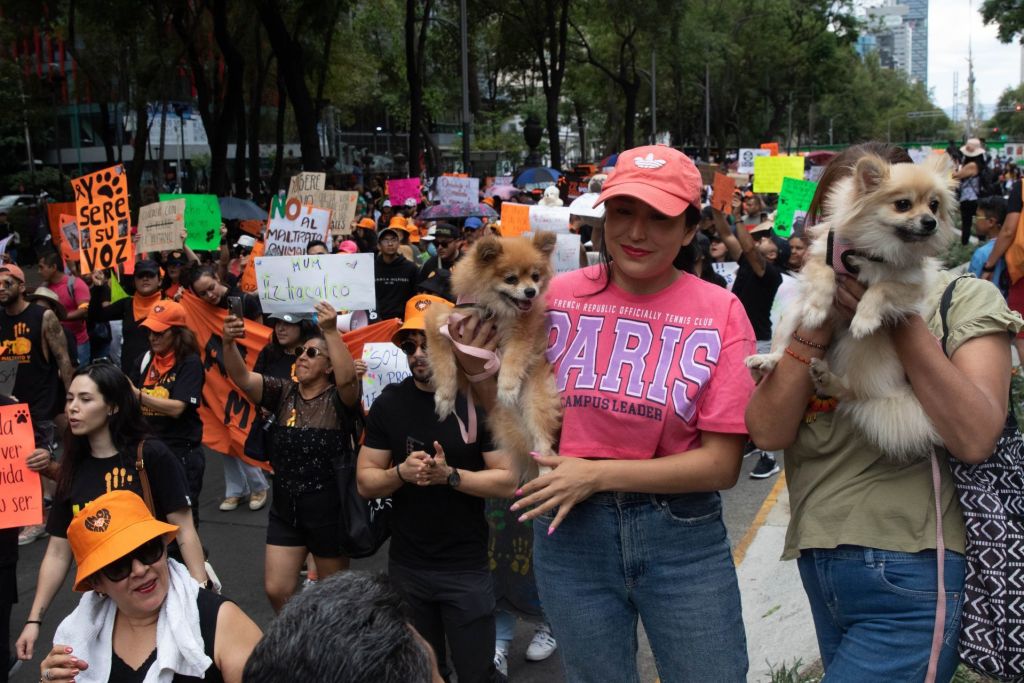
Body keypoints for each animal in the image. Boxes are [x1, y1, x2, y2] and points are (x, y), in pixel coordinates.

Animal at [428, 232, 565, 479]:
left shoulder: (522, 331)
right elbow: (442, 362)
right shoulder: (442, 319)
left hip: (535, 400)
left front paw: (507, 387)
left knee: (541, 442)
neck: (493, 310)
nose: (531, 291)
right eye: (511, 279)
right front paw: (444, 398)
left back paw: (545, 473)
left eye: (535, 276)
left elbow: (513, 358)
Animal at [745, 153, 958, 464]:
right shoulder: (819, 259)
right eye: (903, 204)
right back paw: (766, 361)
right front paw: (818, 310)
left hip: (864, 351)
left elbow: (880, 289)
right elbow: (826, 276)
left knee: (852, 391)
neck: (873, 252)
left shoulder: (909, 285)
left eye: (934, 205)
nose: (930, 222)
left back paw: (828, 378)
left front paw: (864, 319)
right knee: (783, 352)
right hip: (791, 318)